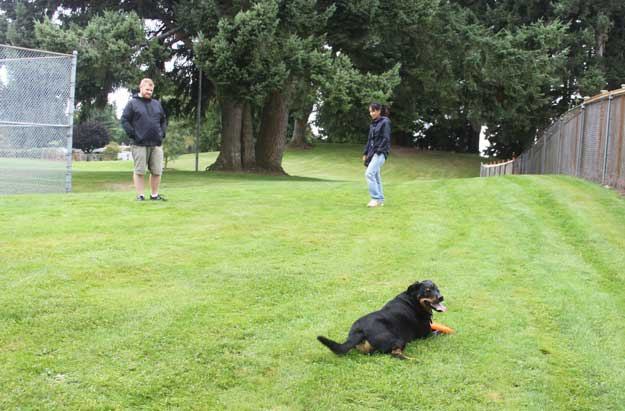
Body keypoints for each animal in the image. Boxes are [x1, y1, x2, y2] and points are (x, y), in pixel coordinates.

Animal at [316, 280, 448, 360]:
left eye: (438, 289)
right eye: (427, 290)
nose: (441, 297)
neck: (414, 301)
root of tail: (359, 331)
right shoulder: (427, 334)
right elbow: (441, 331)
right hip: (397, 339)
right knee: (395, 354)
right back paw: (413, 359)